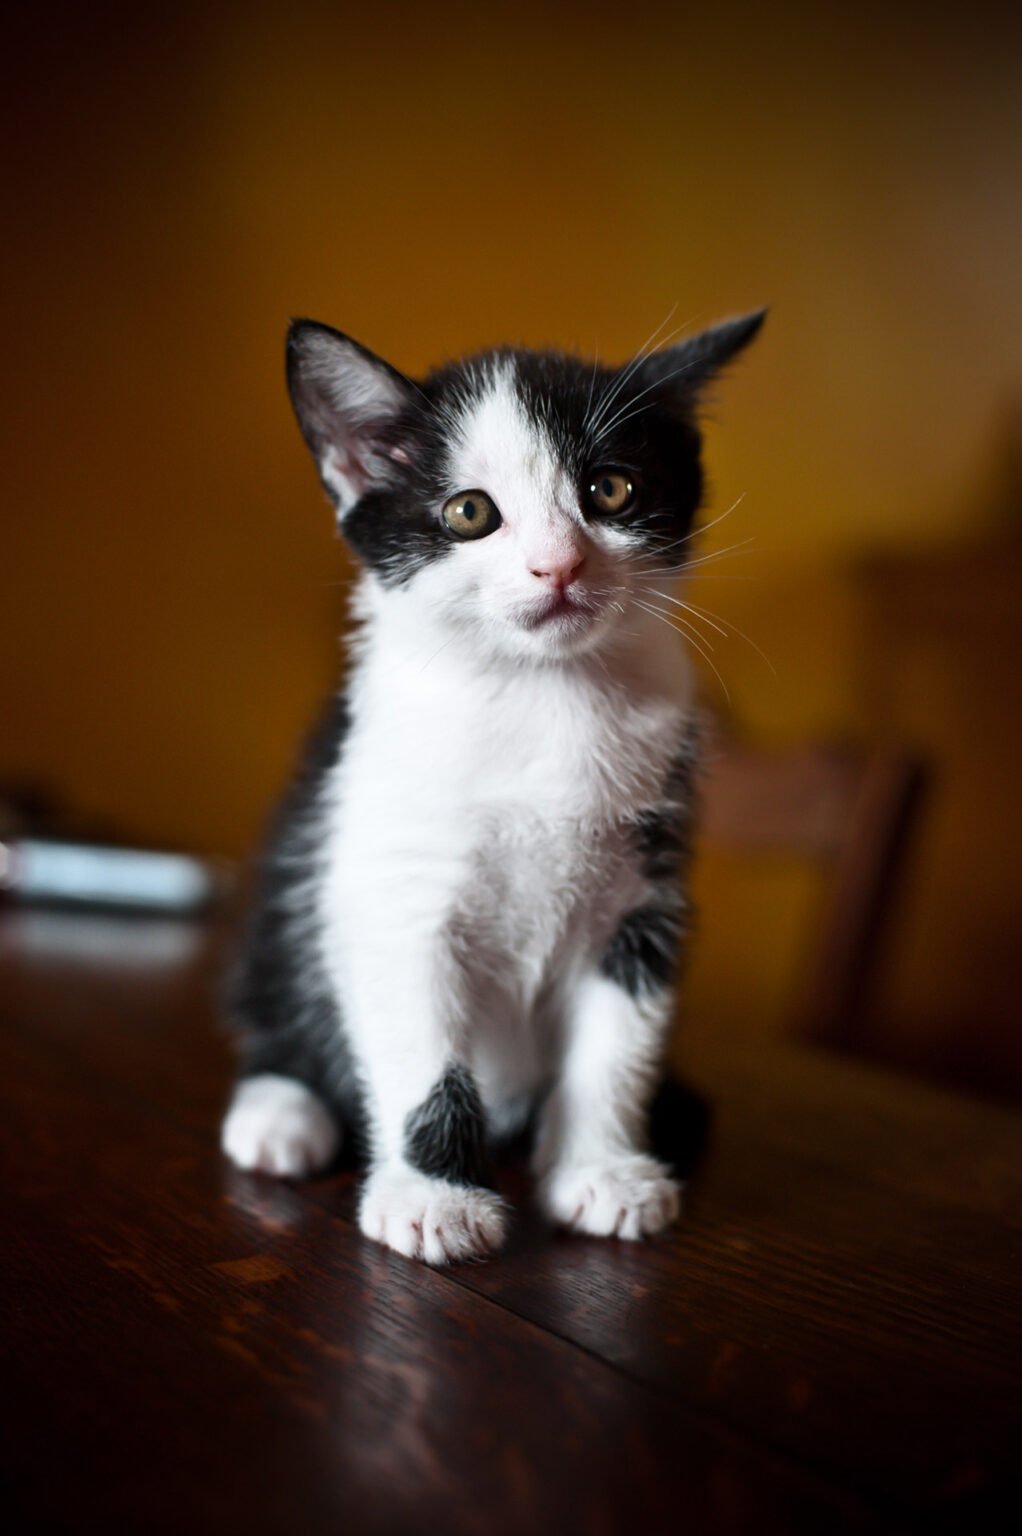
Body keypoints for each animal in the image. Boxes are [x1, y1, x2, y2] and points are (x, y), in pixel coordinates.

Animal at [222, 308, 765, 1259]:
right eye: (469, 512)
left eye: (611, 490)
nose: (559, 565)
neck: (540, 694)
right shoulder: (392, 885)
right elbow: (419, 1044)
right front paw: (435, 1196)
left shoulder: (647, 897)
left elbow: (619, 1040)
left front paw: (601, 1171)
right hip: (292, 876)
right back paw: (281, 1109)